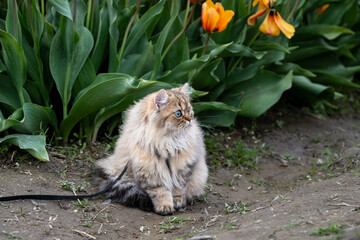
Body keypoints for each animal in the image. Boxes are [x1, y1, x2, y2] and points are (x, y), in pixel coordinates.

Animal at [93, 84, 208, 216]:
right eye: (178, 113)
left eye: (189, 110)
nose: (189, 119)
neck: (167, 142)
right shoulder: (151, 172)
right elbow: (161, 192)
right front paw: (165, 207)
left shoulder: (184, 169)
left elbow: (179, 189)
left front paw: (178, 202)